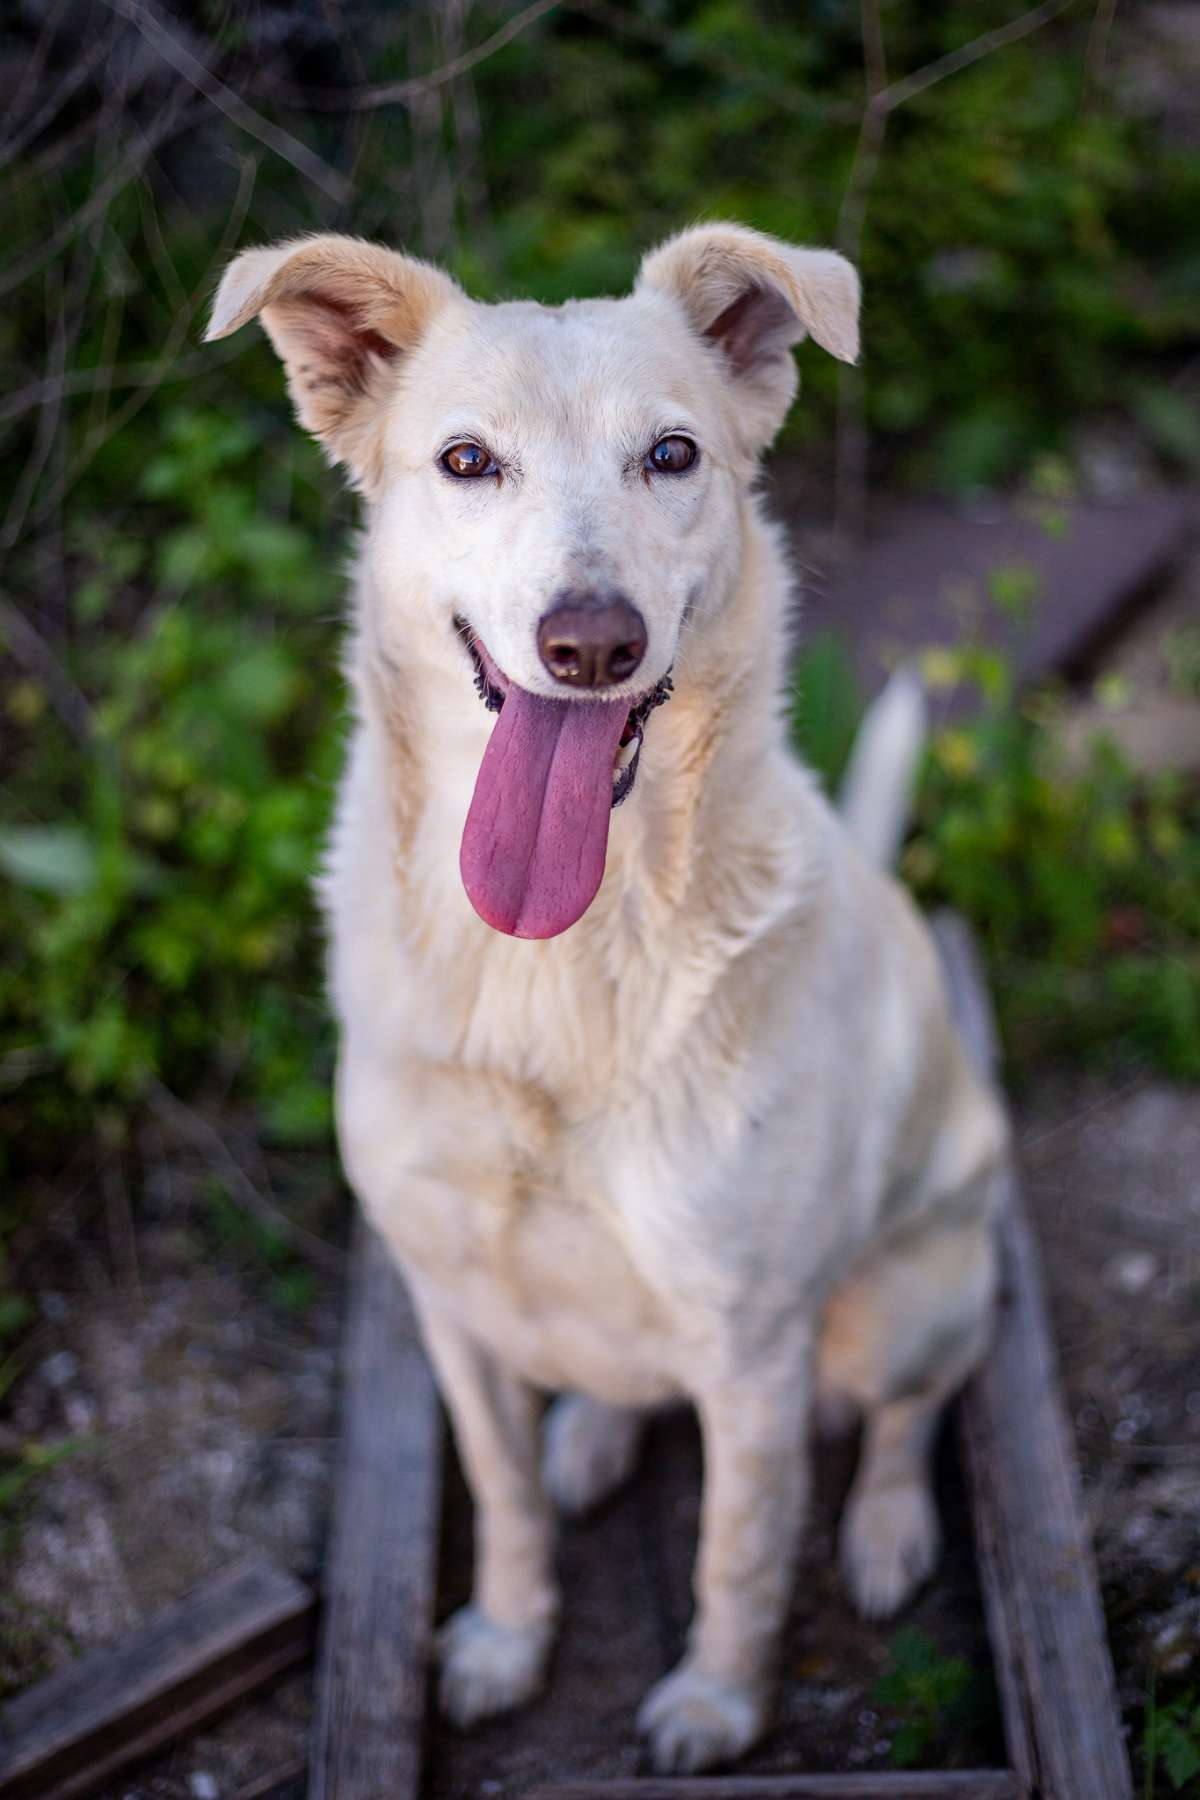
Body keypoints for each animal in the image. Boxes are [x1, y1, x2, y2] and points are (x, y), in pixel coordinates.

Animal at [208, 225, 1014, 1771]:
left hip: (909, 1295)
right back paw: (591, 1432)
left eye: (672, 454)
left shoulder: (754, 1350)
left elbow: (739, 1554)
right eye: (467, 461)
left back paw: (887, 1531)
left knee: (911, 1410)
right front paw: (506, 1638)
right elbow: (504, 1500)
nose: (591, 643)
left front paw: (717, 1703)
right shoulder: (452, 1303)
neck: (552, 963)